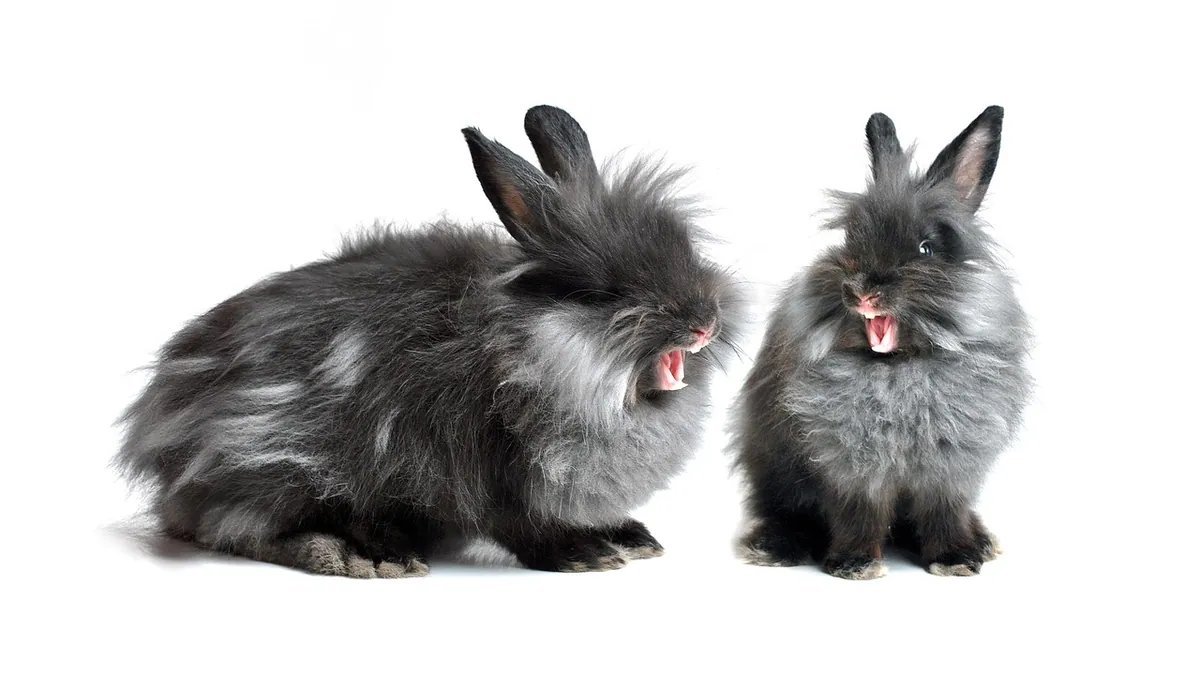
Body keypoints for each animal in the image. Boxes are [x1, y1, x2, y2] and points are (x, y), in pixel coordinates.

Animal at [113, 105, 747, 578]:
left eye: (685, 249)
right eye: (605, 291)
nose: (706, 322)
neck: (524, 350)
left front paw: (629, 537)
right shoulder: (486, 465)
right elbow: (522, 524)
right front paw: (584, 554)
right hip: (266, 458)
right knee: (237, 527)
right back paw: (366, 555)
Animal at [729, 106, 1033, 580]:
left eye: (926, 249)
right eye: (851, 239)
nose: (860, 290)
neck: (897, 370)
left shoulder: (949, 469)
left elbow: (945, 512)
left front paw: (956, 559)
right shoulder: (849, 467)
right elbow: (858, 514)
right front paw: (855, 565)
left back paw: (982, 542)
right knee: (783, 513)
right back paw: (774, 547)